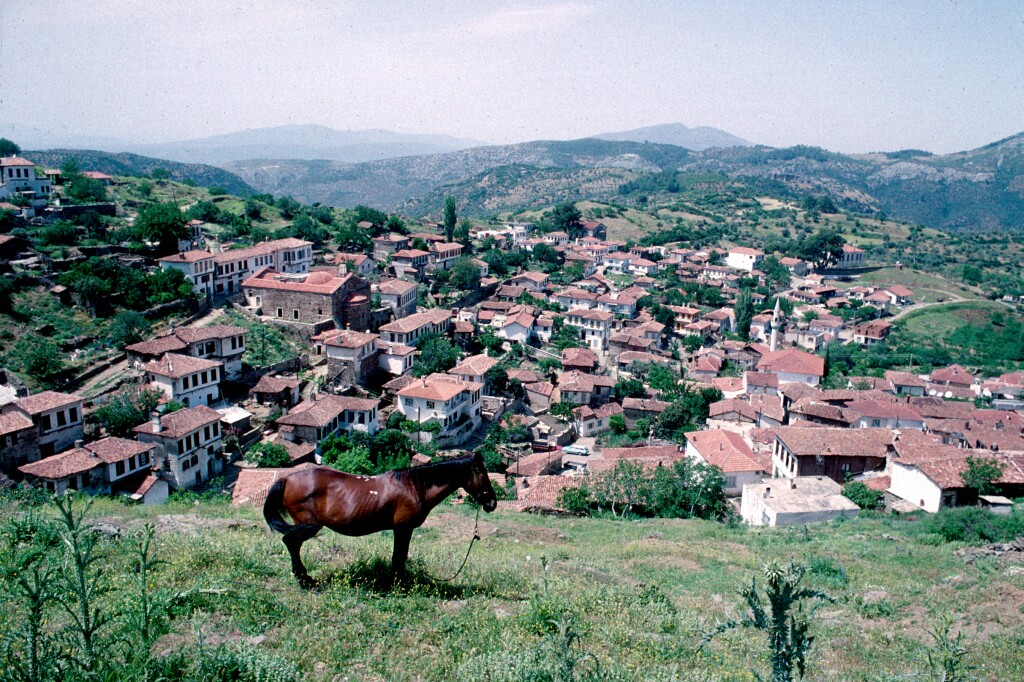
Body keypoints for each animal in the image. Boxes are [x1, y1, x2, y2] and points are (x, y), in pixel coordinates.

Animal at [260, 450, 491, 585]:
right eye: (482, 474)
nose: (492, 503)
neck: (414, 486)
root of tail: (287, 479)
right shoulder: (403, 528)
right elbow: (399, 556)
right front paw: (398, 584)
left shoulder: (402, 529)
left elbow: (400, 556)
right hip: (309, 525)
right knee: (291, 542)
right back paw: (305, 579)